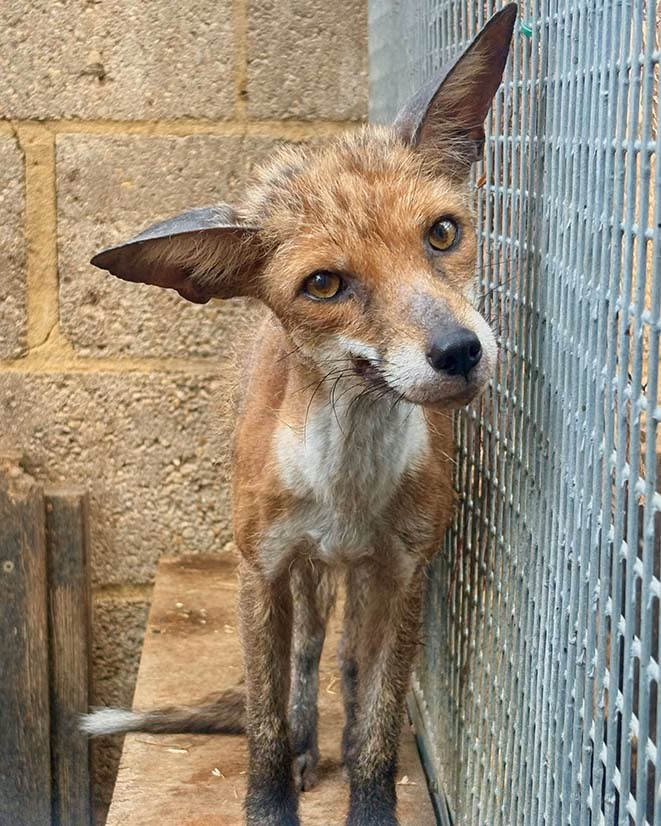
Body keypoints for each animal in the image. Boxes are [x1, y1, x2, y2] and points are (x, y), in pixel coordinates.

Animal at [83, 6, 518, 825]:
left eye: (442, 233)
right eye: (324, 284)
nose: (459, 351)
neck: (347, 485)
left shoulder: (403, 574)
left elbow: (378, 725)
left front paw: (369, 798)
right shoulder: (262, 573)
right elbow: (265, 721)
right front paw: (274, 794)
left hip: (357, 581)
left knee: (346, 667)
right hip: (306, 580)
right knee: (308, 667)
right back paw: (310, 747)